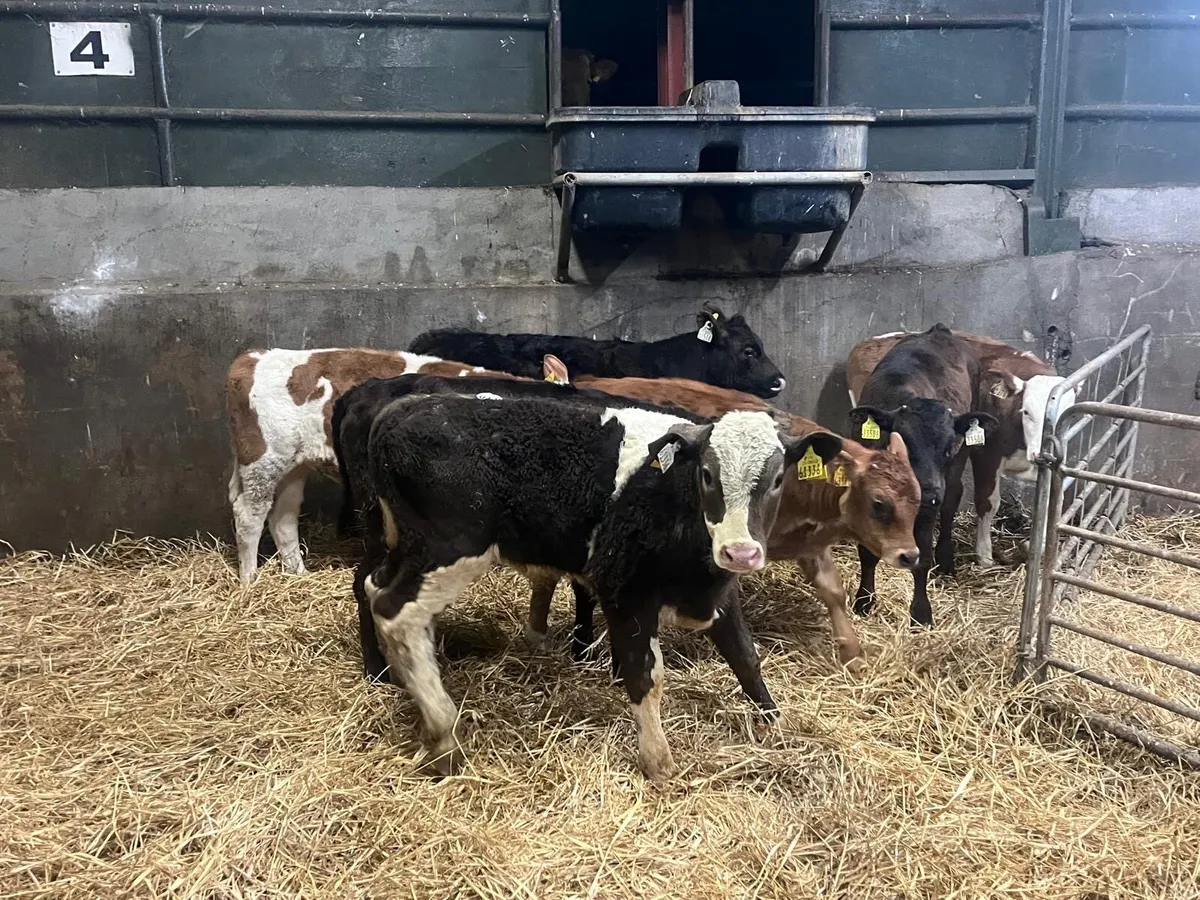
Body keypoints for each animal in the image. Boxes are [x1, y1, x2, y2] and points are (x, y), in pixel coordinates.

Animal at [224, 347, 565, 584]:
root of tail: (252, 358)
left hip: (295, 465)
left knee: (283, 515)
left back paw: (297, 574)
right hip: (264, 458)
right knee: (250, 514)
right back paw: (250, 580)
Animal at [358, 389, 843, 780]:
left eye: (777, 479)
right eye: (708, 474)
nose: (740, 552)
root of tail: (403, 409)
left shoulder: (719, 594)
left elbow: (745, 658)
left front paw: (778, 726)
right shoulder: (623, 592)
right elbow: (644, 676)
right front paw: (658, 761)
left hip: (407, 548)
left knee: (373, 589)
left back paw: (400, 681)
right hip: (451, 550)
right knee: (395, 612)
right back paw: (444, 735)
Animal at [532, 372, 921, 671]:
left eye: (919, 499)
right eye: (879, 503)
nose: (910, 555)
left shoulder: (807, 544)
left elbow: (833, 591)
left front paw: (852, 653)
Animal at [845, 324, 999, 628]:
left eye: (948, 448)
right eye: (902, 444)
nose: (928, 492)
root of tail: (939, 331)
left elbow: (923, 557)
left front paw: (921, 613)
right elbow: (867, 552)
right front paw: (864, 602)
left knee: (952, 500)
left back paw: (946, 559)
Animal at [847, 328, 1073, 568]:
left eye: (1066, 417)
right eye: (1027, 412)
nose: (1041, 453)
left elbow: (1050, 504)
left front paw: (1036, 547)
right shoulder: (986, 454)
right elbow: (987, 502)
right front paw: (984, 555)